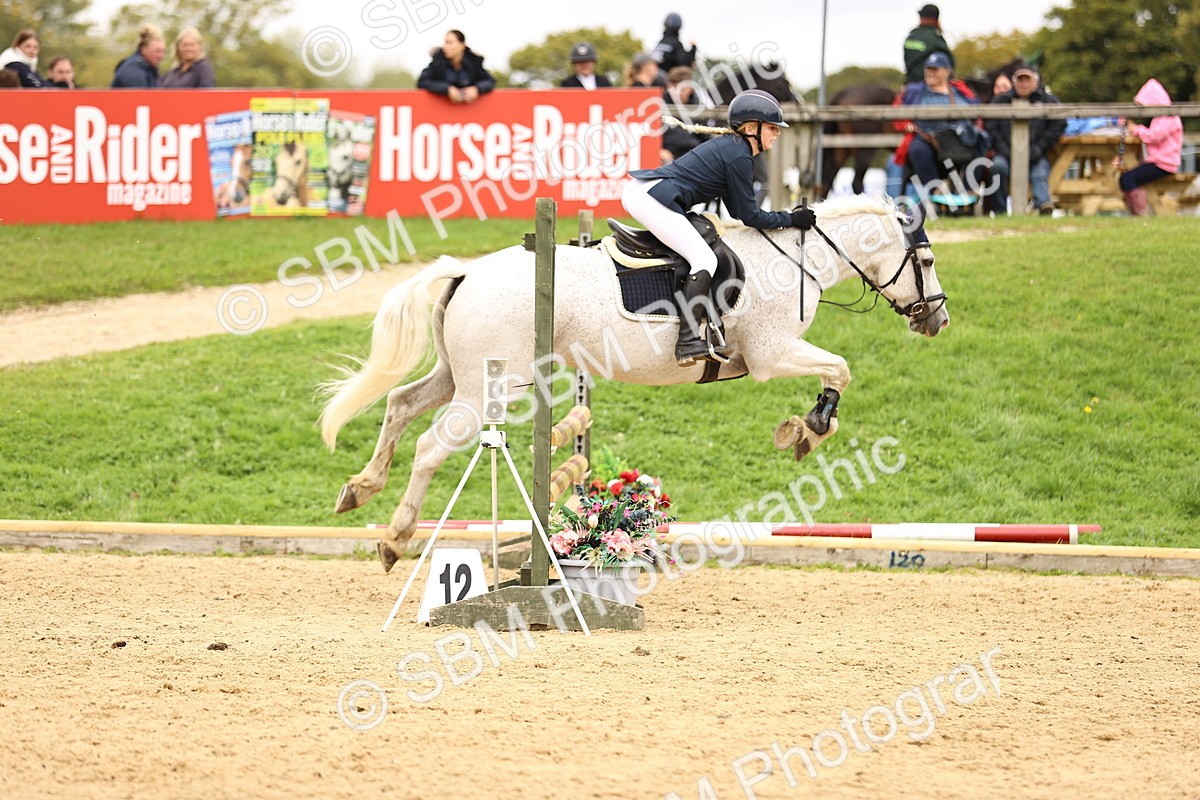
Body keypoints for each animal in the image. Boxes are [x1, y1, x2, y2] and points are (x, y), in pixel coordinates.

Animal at [318, 195, 950, 572]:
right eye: (926, 261)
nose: (937, 320)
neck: (799, 260)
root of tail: (467, 270)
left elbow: (837, 370)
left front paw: (804, 427)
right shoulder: (773, 355)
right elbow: (840, 368)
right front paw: (812, 427)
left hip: (459, 375)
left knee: (400, 404)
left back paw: (359, 488)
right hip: (486, 389)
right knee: (430, 445)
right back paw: (394, 538)